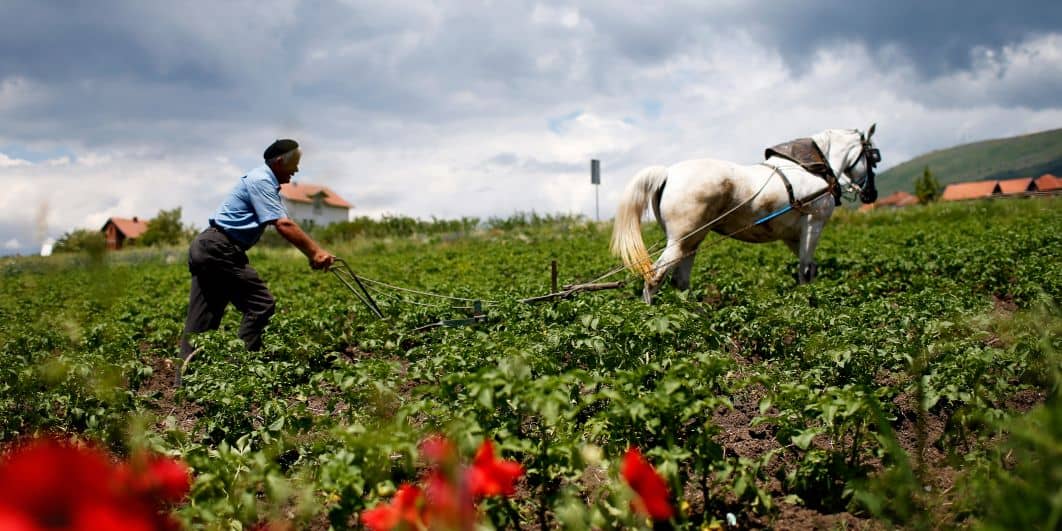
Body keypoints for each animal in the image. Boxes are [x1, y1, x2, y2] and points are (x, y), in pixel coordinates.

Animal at [610, 125, 881, 304]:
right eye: (873, 156)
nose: (872, 194)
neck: (811, 168)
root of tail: (667, 173)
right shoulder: (814, 223)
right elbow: (805, 269)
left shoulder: (792, 235)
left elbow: (810, 267)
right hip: (681, 240)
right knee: (654, 277)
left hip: (691, 240)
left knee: (680, 281)